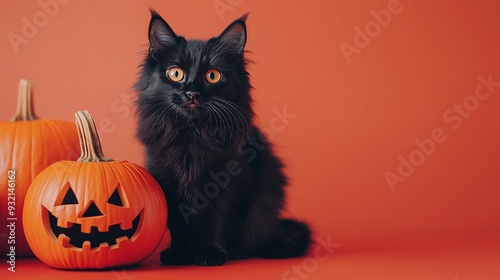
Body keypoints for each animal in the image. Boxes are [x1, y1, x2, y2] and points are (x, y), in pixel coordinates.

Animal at [135, 9, 310, 266]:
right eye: (176, 73)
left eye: (212, 76)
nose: (192, 92)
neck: (192, 135)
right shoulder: (165, 179)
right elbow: (178, 223)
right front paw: (180, 254)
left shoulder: (229, 181)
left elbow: (219, 220)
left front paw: (211, 253)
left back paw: (235, 252)